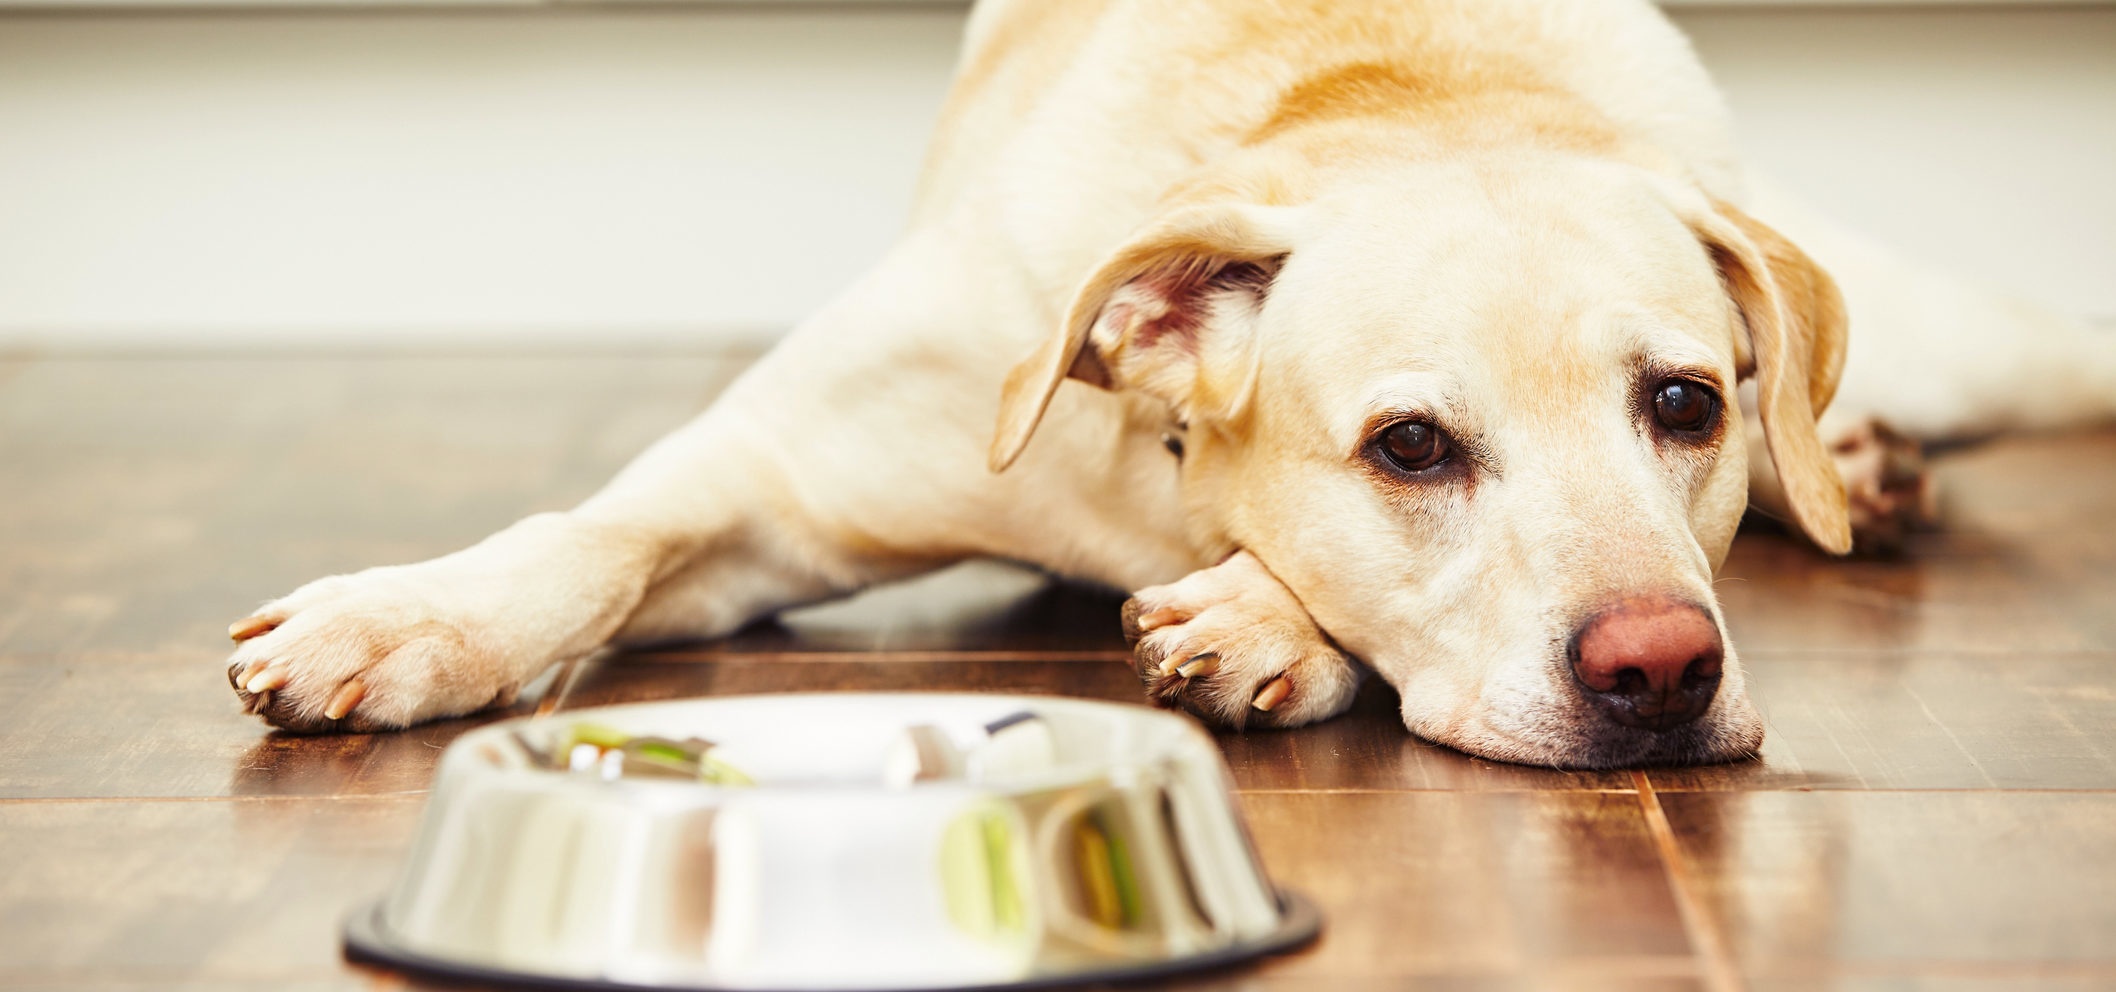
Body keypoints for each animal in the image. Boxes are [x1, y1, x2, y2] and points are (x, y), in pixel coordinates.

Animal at [223, 0, 2107, 765]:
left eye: (1687, 407)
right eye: (1410, 446)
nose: (1659, 672)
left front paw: (1260, 616)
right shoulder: (773, 475)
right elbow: (592, 537)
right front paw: (406, 617)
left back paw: (1866, 464)